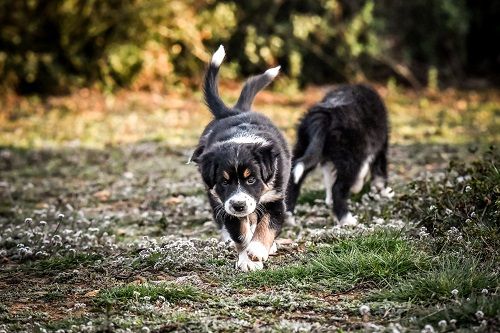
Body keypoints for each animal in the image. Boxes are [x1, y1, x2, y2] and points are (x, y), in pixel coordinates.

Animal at [192, 45, 292, 272]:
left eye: (251, 179)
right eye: (224, 181)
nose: (239, 205)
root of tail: (234, 111)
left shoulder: (276, 200)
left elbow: (267, 226)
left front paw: (257, 250)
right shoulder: (225, 204)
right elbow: (240, 233)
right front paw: (247, 259)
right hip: (215, 199)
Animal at [284, 83, 392, 226]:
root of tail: (325, 116)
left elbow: (329, 176)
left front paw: (329, 200)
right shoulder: (377, 145)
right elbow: (375, 169)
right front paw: (380, 190)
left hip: (303, 145)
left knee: (294, 180)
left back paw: (288, 217)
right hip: (351, 157)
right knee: (338, 188)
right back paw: (347, 219)